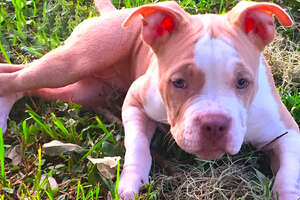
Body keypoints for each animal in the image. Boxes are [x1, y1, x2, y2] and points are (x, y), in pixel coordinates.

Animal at [0, 0, 298, 199]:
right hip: (75, 61)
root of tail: (116, 13)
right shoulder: (135, 102)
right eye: (178, 82)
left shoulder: (287, 132)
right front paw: (130, 182)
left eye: (243, 83)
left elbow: (289, 174)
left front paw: (286, 192)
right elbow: (138, 146)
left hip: (80, 90)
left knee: (19, 77)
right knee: (15, 78)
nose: (214, 125)